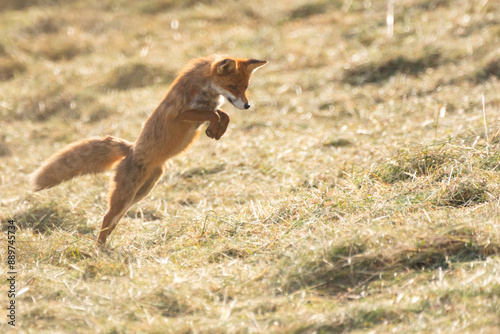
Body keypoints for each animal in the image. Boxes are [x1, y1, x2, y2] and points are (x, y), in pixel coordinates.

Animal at [31, 55, 268, 245]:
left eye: (245, 87)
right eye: (233, 87)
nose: (248, 106)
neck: (204, 88)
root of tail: (130, 150)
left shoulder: (203, 110)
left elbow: (222, 114)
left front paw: (217, 130)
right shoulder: (179, 114)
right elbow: (213, 113)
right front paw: (214, 128)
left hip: (140, 194)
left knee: (112, 221)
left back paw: (105, 245)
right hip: (126, 195)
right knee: (106, 218)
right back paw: (99, 249)